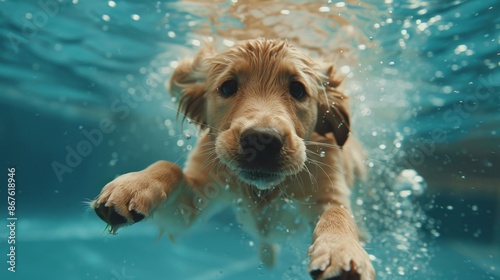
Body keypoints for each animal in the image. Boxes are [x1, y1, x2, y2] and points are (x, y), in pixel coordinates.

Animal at [93, 38, 376, 280]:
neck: (264, 192)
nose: (262, 140)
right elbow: (169, 167)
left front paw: (342, 252)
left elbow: (337, 213)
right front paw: (132, 186)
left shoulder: (329, 189)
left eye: (298, 89)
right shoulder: (190, 206)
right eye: (228, 87)